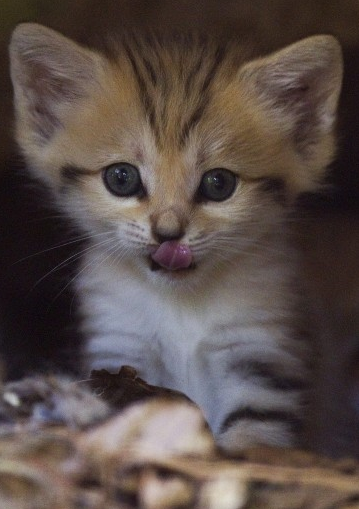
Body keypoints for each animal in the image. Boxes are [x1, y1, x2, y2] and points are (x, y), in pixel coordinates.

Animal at [9, 23, 344, 450]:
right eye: (121, 178)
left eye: (219, 184)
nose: (168, 233)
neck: (180, 305)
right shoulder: (120, 348)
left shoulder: (260, 354)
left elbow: (253, 438)